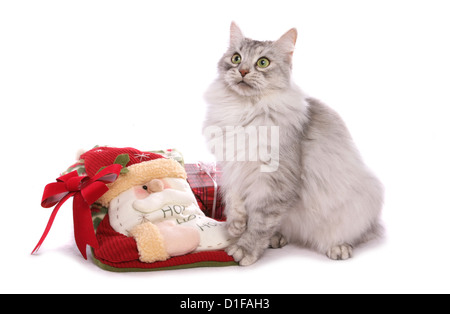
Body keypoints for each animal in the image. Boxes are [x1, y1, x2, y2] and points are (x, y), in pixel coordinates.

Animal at [203, 22, 384, 264]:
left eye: (263, 62)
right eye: (236, 58)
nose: (242, 71)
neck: (244, 110)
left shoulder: (275, 180)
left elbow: (260, 222)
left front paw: (245, 249)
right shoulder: (232, 167)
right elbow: (235, 202)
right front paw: (235, 227)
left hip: (364, 200)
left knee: (359, 234)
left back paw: (339, 247)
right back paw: (277, 238)